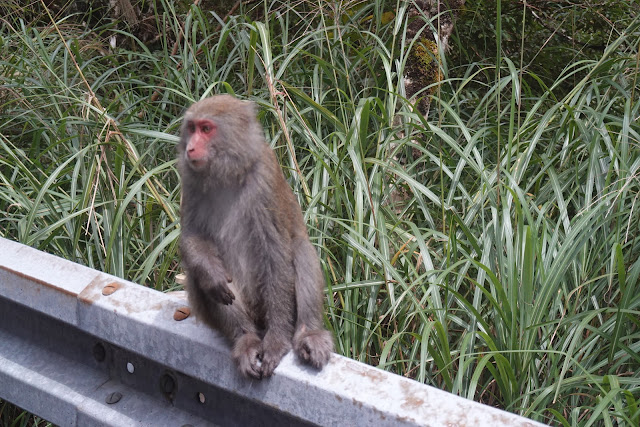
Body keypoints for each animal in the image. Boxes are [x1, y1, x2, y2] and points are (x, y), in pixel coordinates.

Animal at [176, 95, 332, 380]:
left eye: (206, 129)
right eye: (191, 128)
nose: (190, 148)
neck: (228, 173)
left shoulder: (264, 180)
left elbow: (276, 254)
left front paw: (277, 341)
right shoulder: (190, 181)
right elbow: (192, 238)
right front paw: (212, 273)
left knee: (301, 249)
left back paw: (308, 333)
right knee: (198, 276)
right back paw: (245, 338)